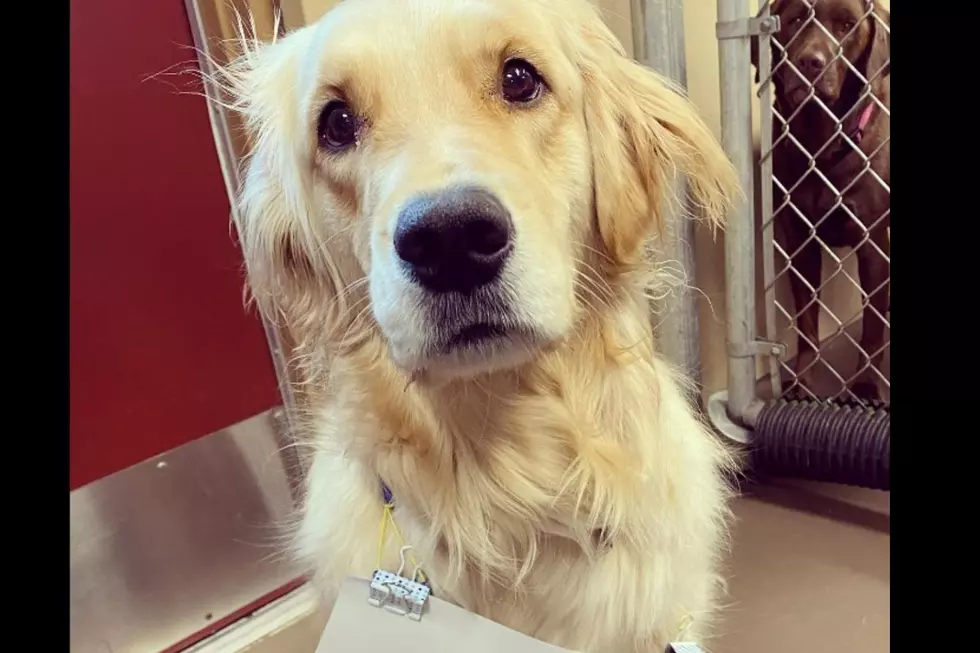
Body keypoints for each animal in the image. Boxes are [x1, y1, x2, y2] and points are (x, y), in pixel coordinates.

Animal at [756, 0, 888, 400]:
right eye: (796, 19)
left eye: (846, 25)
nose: (810, 62)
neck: (820, 143)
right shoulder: (799, 243)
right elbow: (807, 325)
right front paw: (802, 383)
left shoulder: (873, 246)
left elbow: (872, 326)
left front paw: (865, 386)